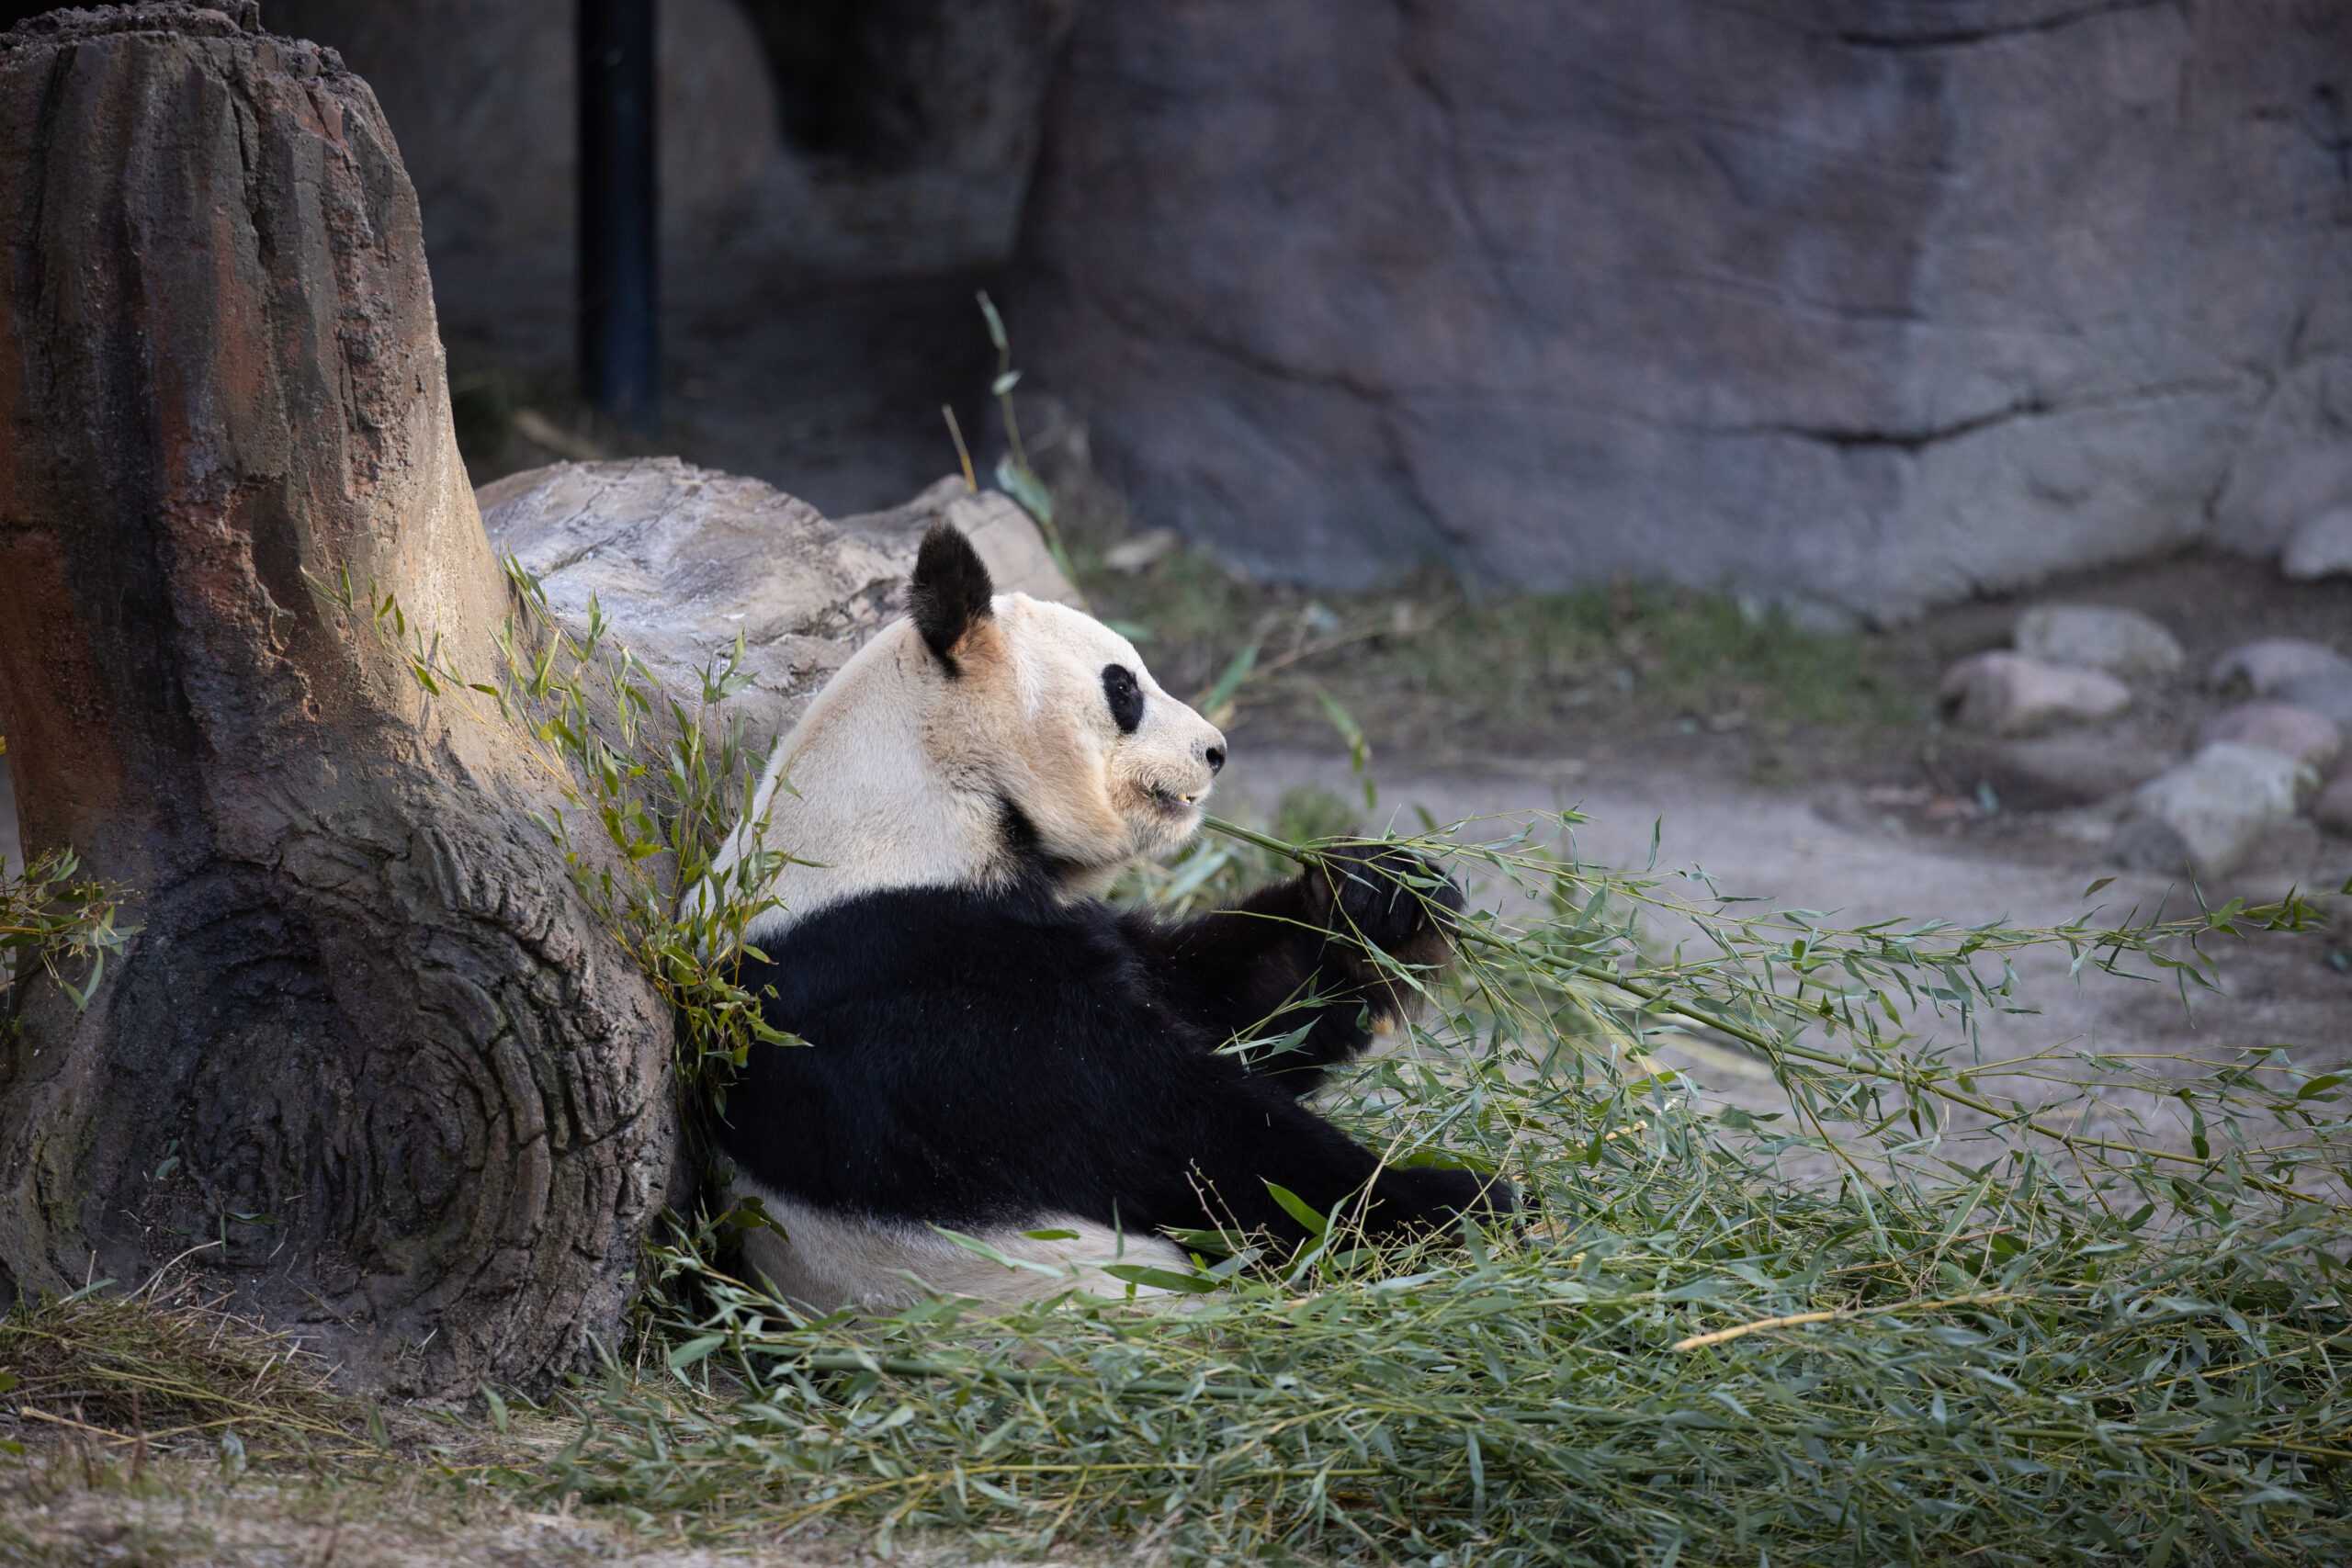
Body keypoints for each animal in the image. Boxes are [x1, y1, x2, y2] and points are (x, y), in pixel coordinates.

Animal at [706, 526, 1505, 1316]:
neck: (926, 798)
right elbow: (1178, 1133)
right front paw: (1460, 1202)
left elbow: (1235, 1001)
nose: (1215, 750)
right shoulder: (921, 975)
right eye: (1123, 688)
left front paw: (1382, 895)